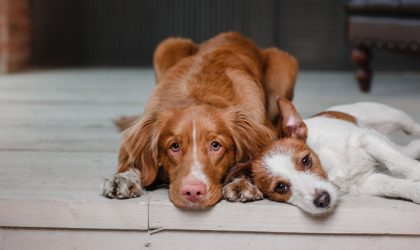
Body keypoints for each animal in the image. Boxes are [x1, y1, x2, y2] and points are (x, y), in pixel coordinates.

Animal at [102, 31, 298, 209]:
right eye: (174, 146)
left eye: (215, 145)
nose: (193, 192)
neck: (200, 94)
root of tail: (235, 34)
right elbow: (130, 160)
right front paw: (124, 178)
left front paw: (242, 182)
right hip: (167, 46)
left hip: (284, 64)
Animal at [249, 97, 420, 215]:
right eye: (280, 187)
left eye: (306, 160)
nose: (322, 200)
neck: (329, 167)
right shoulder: (366, 182)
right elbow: (394, 185)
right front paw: (415, 190)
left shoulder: (365, 139)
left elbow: (397, 162)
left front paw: (416, 172)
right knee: (407, 148)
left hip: (393, 117)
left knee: (412, 129)